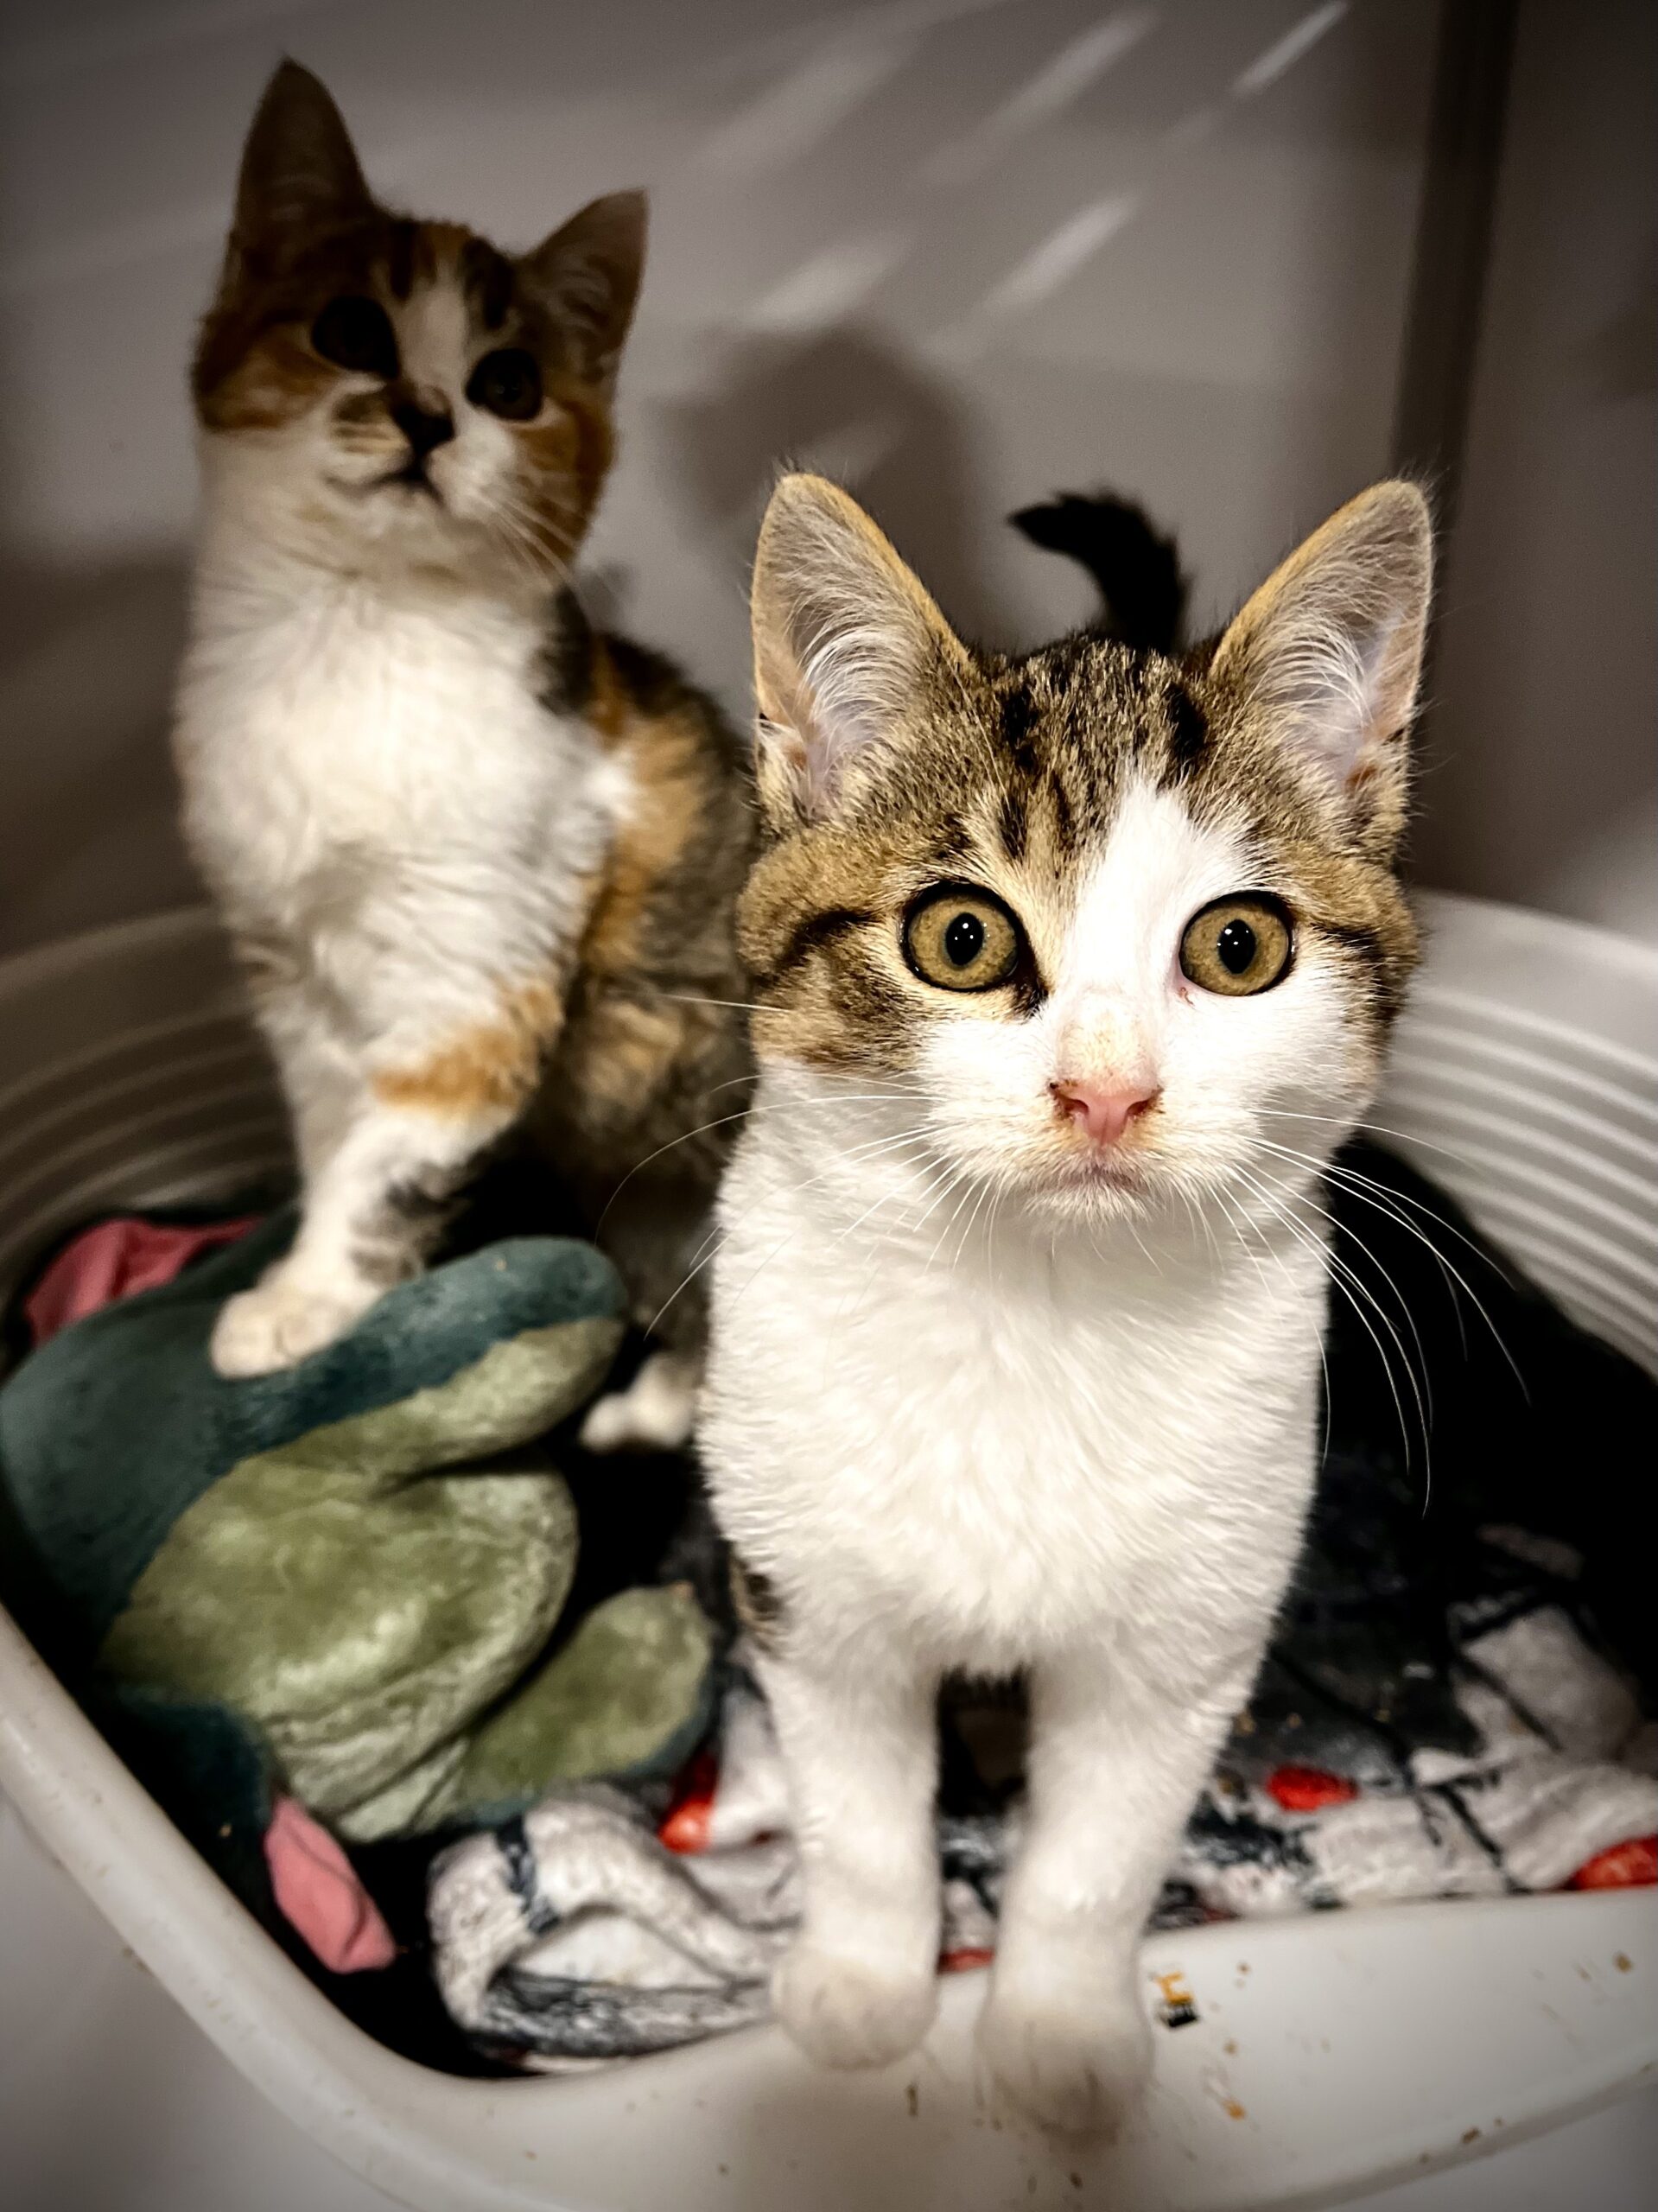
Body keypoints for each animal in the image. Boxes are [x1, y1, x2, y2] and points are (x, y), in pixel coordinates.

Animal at [173, 61, 753, 1445]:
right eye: (347, 331)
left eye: (506, 387)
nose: (428, 416)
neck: (354, 637)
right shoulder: (295, 979)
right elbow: (334, 1137)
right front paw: (304, 1268)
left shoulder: (477, 981)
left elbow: (388, 1162)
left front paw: (302, 1302)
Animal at [699, 471, 1431, 2133]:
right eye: (959, 937)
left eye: (1238, 944)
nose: (1105, 1091)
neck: (1034, 1311)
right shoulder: (808, 1594)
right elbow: (859, 1811)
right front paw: (862, 1990)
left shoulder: (1188, 1632)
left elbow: (1100, 1848)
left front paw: (1053, 2030)